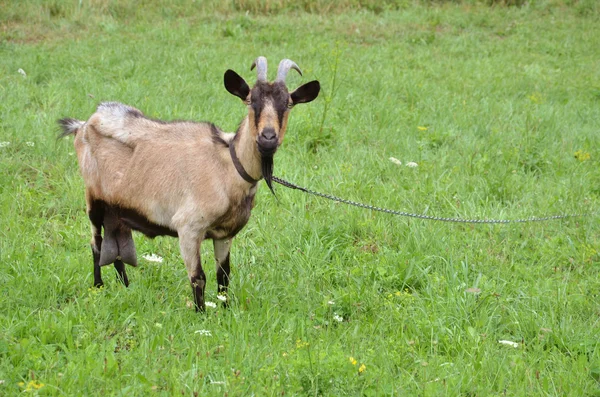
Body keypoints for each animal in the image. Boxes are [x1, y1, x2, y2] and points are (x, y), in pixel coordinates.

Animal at [59, 56, 322, 310]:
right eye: (251, 101)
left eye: (287, 104)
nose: (268, 137)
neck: (228, 166)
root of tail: (83, 125)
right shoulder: (188, 227)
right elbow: (198, 277)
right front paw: (201, 314)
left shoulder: (224, 233)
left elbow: (223, 275)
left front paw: (225, 310)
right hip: (93, 199)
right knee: (96, 243)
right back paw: (98, 288)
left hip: (118, 208)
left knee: (116, 245)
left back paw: (125, 287)